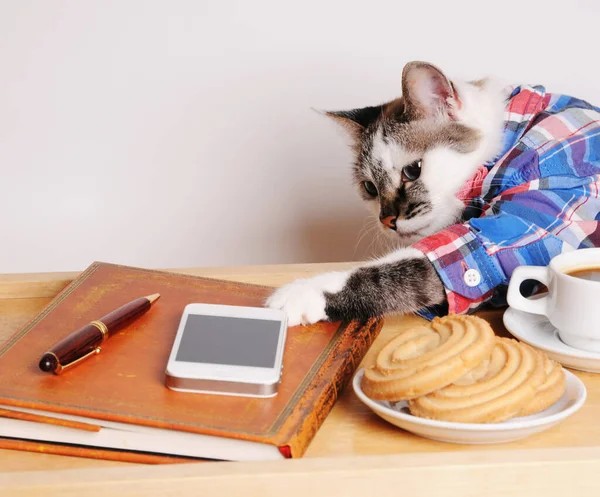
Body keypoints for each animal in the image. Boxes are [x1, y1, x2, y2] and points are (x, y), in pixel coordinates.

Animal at [268, 60, 600, 326]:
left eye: (412, 171)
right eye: (369, 188)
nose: (387, 220)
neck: (510, 133)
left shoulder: (529, 218)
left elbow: (393, 271)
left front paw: (300, 293)